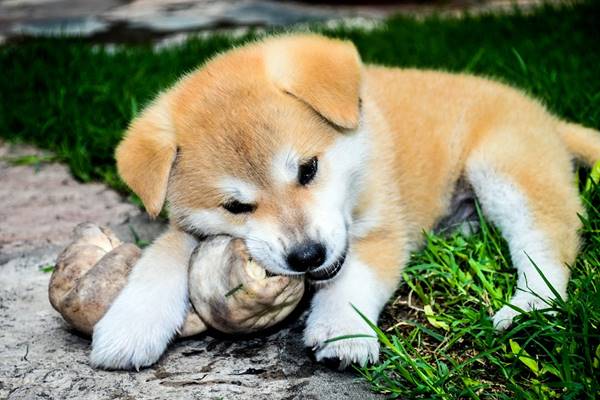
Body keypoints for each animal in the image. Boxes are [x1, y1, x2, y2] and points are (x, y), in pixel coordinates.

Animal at [90, 34, 600, 368]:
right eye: (235, 207)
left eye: (308, 169)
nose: (306, 256)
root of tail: (546, 117)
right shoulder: (187, 228)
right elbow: (161, 257)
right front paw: (130, 325)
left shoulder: (382, 229)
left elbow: (354, 277)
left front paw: (340, 331)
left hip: (504, 168)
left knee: (547, 245)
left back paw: (527, 307)